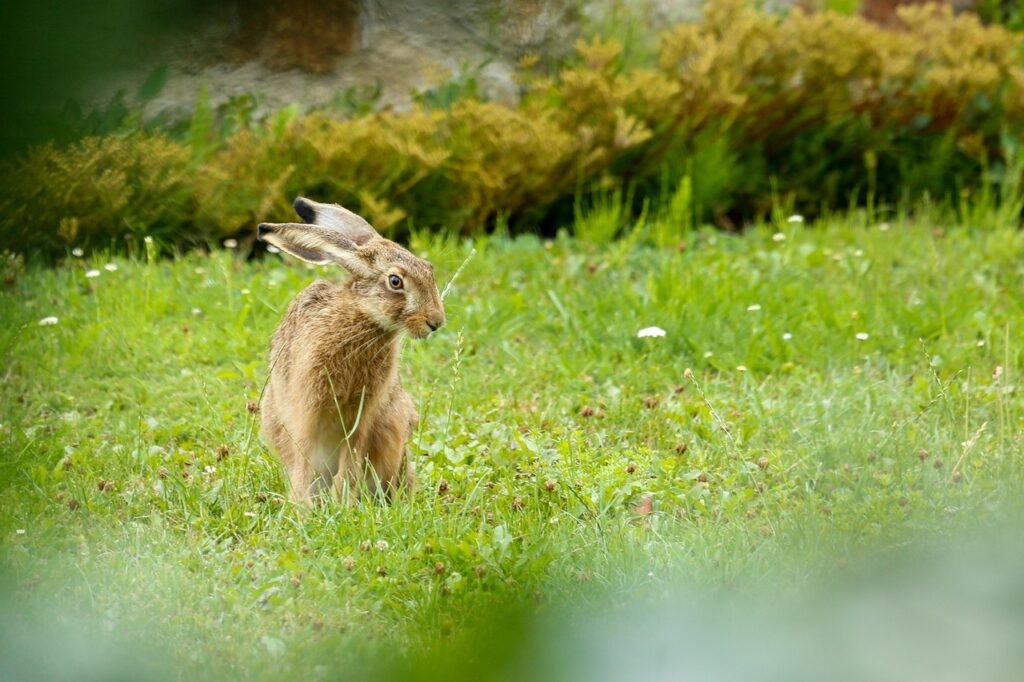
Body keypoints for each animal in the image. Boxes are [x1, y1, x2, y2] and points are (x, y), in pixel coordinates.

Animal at [256, 197, 445, 504]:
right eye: (395, 282)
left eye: (429, 270)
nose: (436, 322)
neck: (363, 318)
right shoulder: (307, 403)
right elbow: (303, 452)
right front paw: (302, 506)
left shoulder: (365, 412)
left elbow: (352, 456)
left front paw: (342, 502)